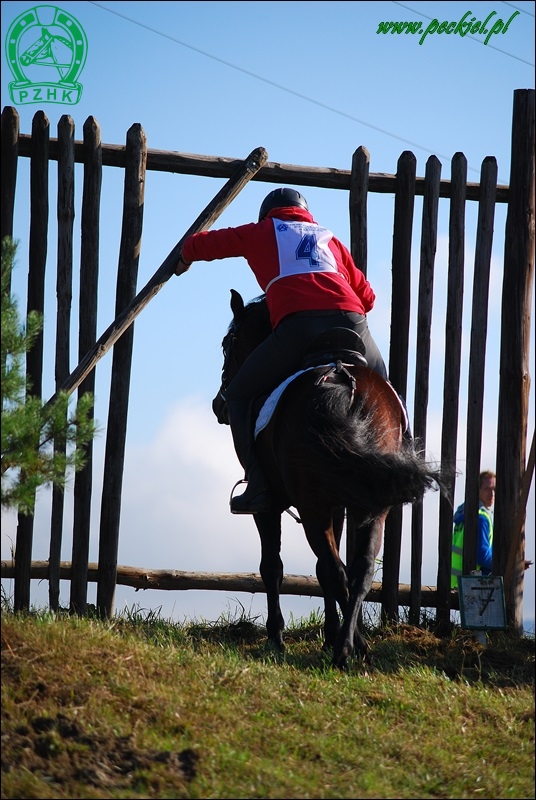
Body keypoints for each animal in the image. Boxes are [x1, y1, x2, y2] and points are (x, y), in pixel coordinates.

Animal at [213, 290, 444, 668]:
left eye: (226, 344)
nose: (220, 403)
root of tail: (343, 384)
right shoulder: (336, 506)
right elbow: (325, 570)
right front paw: (331, 632)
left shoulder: (270, 508)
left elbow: (273, 566)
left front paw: (276, 636)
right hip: (368, 506)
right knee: (359, 569)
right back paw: (351, 644)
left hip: (311, 506)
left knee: (336, 569)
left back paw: (347, 648)